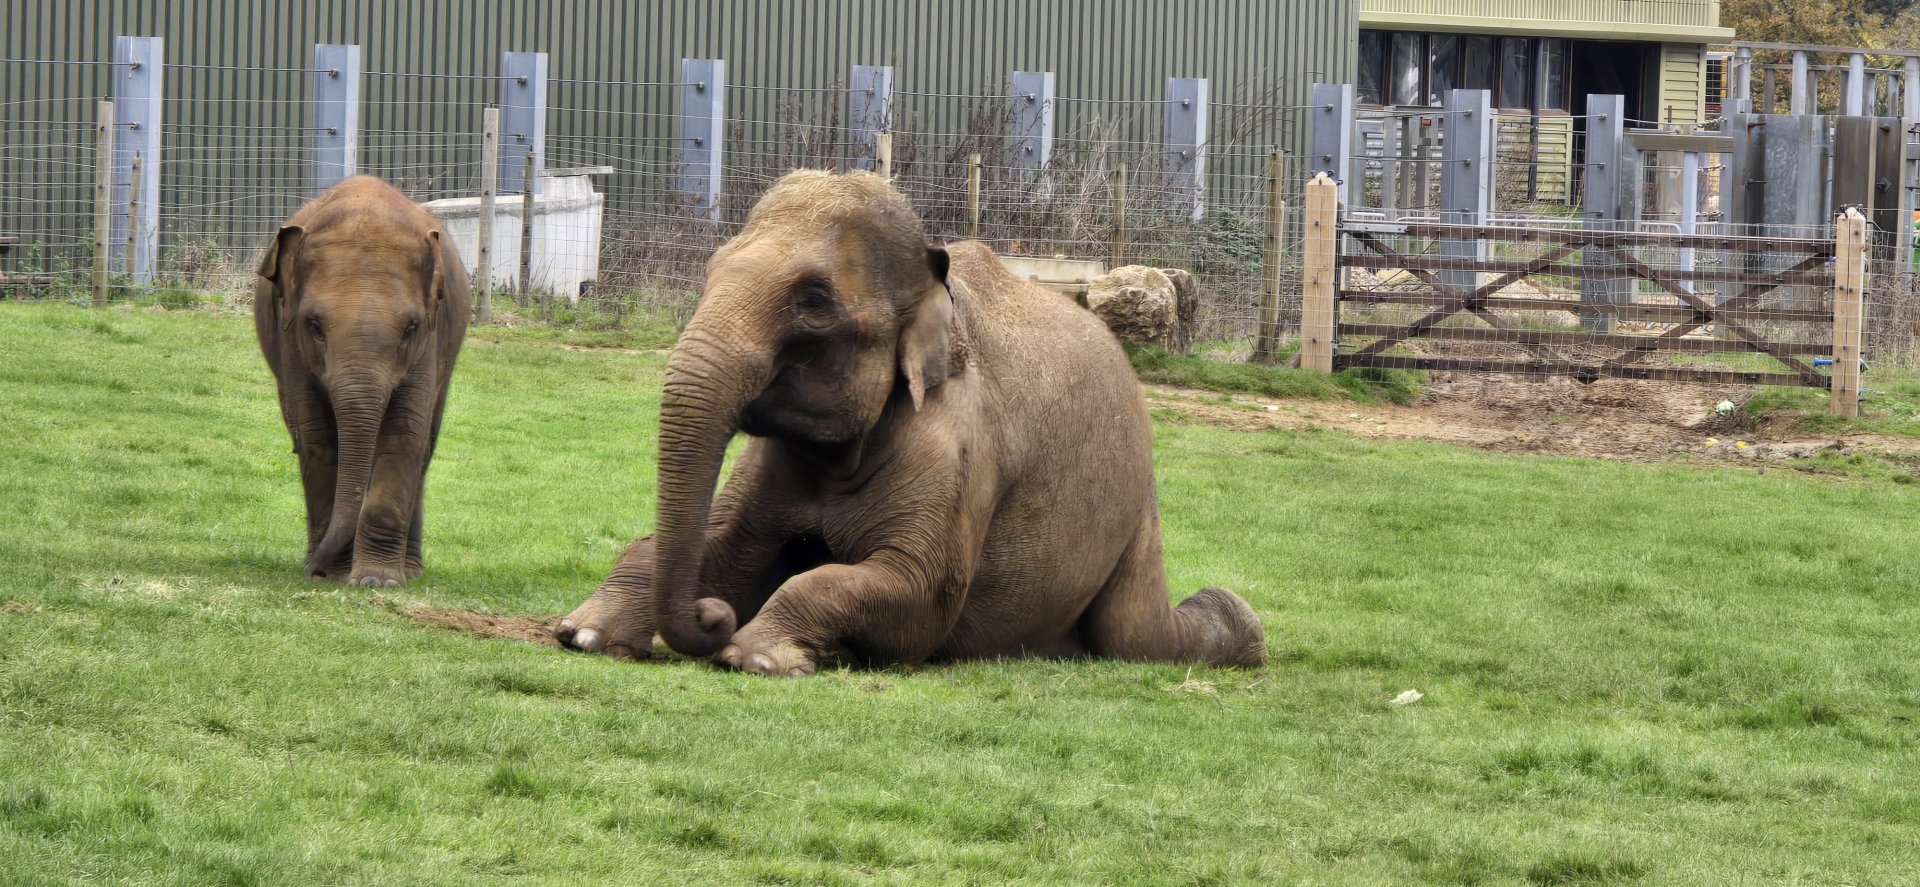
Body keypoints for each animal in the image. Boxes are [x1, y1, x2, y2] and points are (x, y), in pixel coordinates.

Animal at [254, 175, 471, 587]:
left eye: (411, 328)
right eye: (314, 325)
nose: (316, 570)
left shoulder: (430, 340)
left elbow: (404, 433)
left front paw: (377, 581)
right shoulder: (291, 343)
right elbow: (319, 436)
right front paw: (336, 575)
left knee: (424, 447)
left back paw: (410, 571)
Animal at [555, 169, 1265, 675]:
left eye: (814, 302)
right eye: (710, 272)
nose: (712, 616)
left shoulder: (958, 453)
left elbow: (916, 595)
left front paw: (759, 657)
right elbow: (723, 547)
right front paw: (583, 633)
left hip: (1133, 510)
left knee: (1135, 637)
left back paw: (1244, 630)